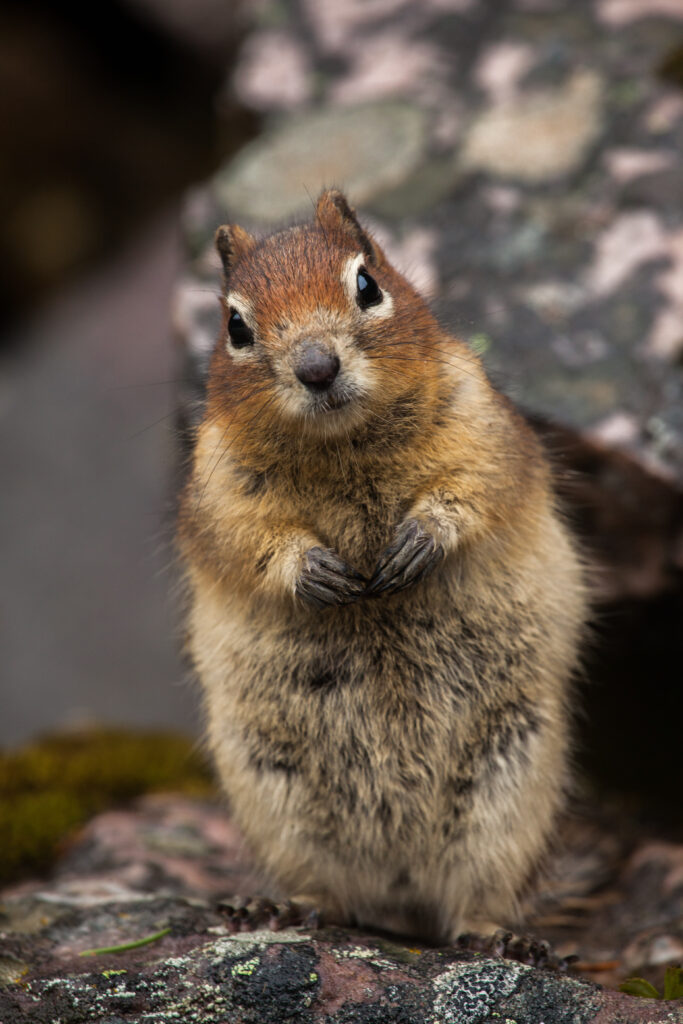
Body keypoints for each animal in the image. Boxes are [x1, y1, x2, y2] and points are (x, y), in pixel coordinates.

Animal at [177, 188, 587, 945]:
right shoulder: (218, 491)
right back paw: (281, 907)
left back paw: (500, 936)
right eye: (235, 326)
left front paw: (419, 540)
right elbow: (249, 540)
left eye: (367, 284)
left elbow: (472, 488)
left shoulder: (483, 428)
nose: (317, 368)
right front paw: (315, 573)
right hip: (274, 792)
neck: (344, 446)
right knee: (333, 894)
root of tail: (401, 896)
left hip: (508, 785)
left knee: (474, 900)